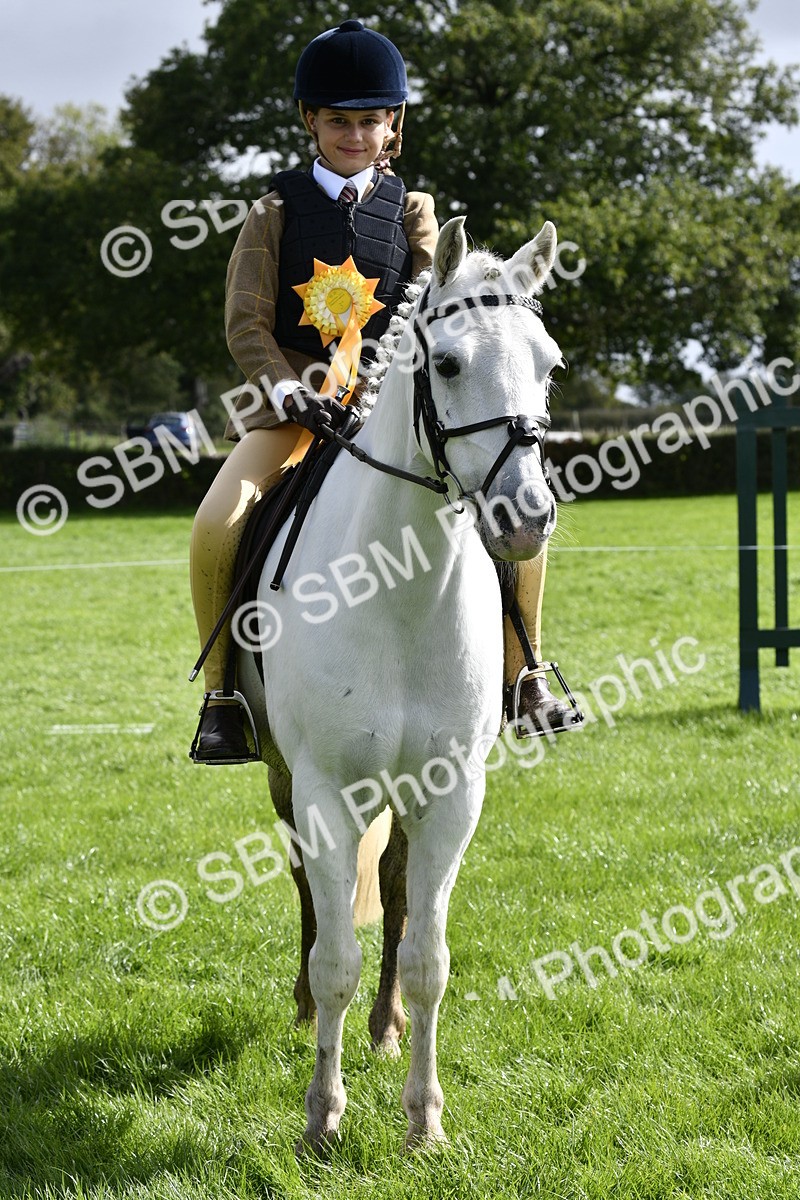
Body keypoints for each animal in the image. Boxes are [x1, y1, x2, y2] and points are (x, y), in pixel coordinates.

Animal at [238, 215, 562, 1155]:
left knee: (387, 892)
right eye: (446, 364)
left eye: (550, 364)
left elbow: (427, 958)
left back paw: (383, 1031)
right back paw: (307, 1012)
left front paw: (423, 1121)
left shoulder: (452, 793)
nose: (527, 518)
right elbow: (335, 956)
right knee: (313, 893)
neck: (398, 592)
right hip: (286, 777)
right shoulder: (324, 788)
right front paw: (322, 1118)